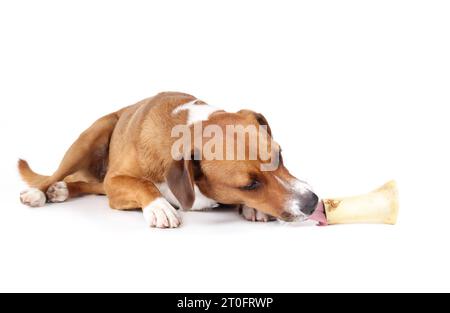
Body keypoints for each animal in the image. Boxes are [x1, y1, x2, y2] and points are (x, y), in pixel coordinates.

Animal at [18, 91, 320, 228]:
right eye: (249, 185)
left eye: (280, 156)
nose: (312, 202)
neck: (190, 130)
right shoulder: (116, 182)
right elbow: (142, 184)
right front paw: (159, 206)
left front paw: (252, 208)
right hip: (90, 137)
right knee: (55, 175)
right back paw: (40, 192)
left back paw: (61, 190)